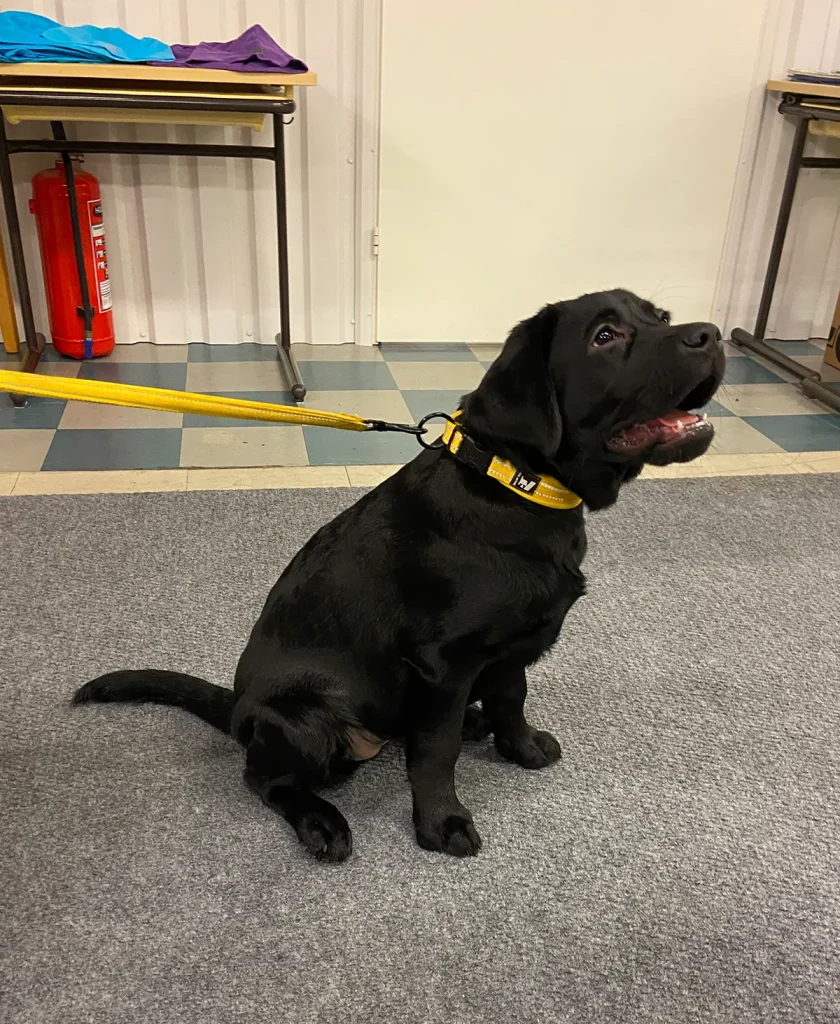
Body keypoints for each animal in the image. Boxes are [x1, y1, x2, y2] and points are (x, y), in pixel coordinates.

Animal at [74, 289, 724, 862]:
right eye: (605, 336)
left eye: (661, 316)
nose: (712, 333)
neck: (517, 490)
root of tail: (239, 708)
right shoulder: (444, 663)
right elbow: (435, 753)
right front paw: (442, 823)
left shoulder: (512, 647)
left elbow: (512, 697)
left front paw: (520, 746)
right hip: (311, 720)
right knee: (264, 780)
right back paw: (322, 822)